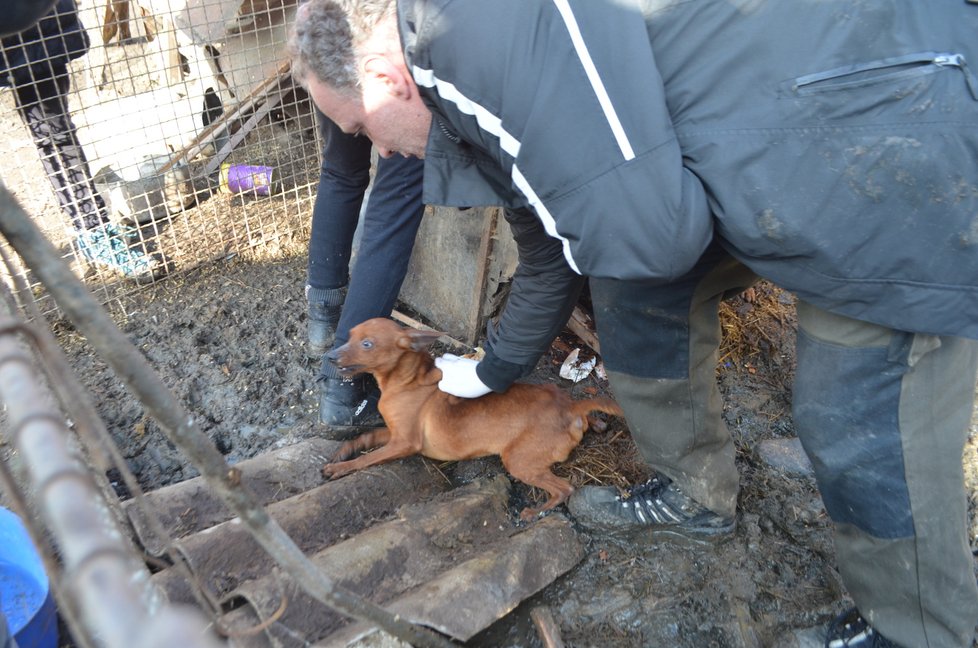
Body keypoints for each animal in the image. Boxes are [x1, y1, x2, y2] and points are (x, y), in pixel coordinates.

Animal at [324, 318, 620, 520]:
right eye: (350, 335)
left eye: (367, 344)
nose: (329, 356)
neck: (407, 381)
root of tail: (571, 407)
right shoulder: (395, 433)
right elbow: (367, 436)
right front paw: (343, 451)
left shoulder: (405, 443)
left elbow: (368, 459)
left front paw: (341, 468)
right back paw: (597, 423)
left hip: (518, 461)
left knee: (563, 489)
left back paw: (533, 512)